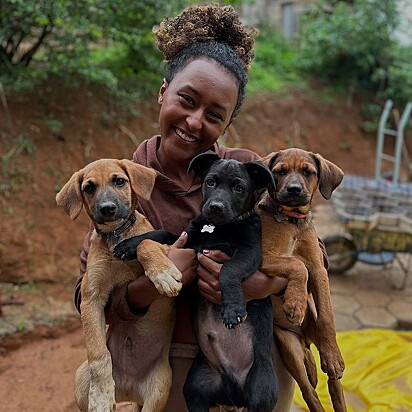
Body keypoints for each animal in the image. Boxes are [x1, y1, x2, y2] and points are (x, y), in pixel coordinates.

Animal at [56, 159, 182, 412]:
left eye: (119, 181)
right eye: (89, 188)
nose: (107, 209)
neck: (116, 235)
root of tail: (129, 389)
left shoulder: (168, 246)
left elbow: (144, 243)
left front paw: (162, 274)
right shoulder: (91, 297)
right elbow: (98, 354)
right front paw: (101, 395)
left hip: (160, 390)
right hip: (81, 379)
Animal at [114, 153, 278, 412]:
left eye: (239, 188)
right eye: (210, 182)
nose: (215, 207)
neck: (216, 228)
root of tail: (233, 391)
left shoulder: (250, 252)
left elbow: (229, 271)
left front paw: (232, 309)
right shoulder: (187, 240)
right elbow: (160, 233)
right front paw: (129, 245)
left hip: (261, 389)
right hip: (197, 386)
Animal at [260, 150, 346, 412]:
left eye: (308, 172)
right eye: (279, 172)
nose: (294, 190)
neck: (291, 220)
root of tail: (306, 338)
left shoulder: (319, 269)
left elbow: (327, 315)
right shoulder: (261, 256)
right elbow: (296, 265)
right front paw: (295, 304)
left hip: (315, 339)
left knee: (333, 383)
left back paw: (331, 359)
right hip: (289, 347)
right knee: (310, 392)